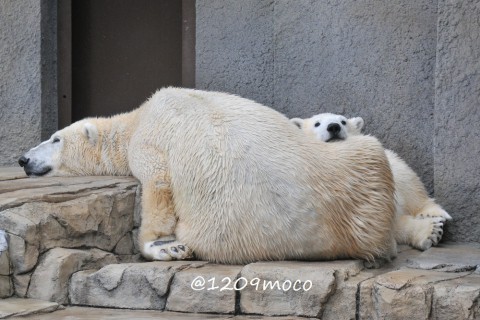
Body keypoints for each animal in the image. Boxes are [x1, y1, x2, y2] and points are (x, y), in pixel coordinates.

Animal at [18, 89, 396, 264]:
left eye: (54, 138)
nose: (23, 159)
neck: (136, 119)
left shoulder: (149, 142)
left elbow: (158, 187)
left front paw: (164, 245)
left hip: (226, 229)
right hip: (356, 164)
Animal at [290, 112, 452, 250]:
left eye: (343, 121)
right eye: (316, 123)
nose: (334, 127)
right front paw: (431, 231)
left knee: (411, 185)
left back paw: (433, 214)